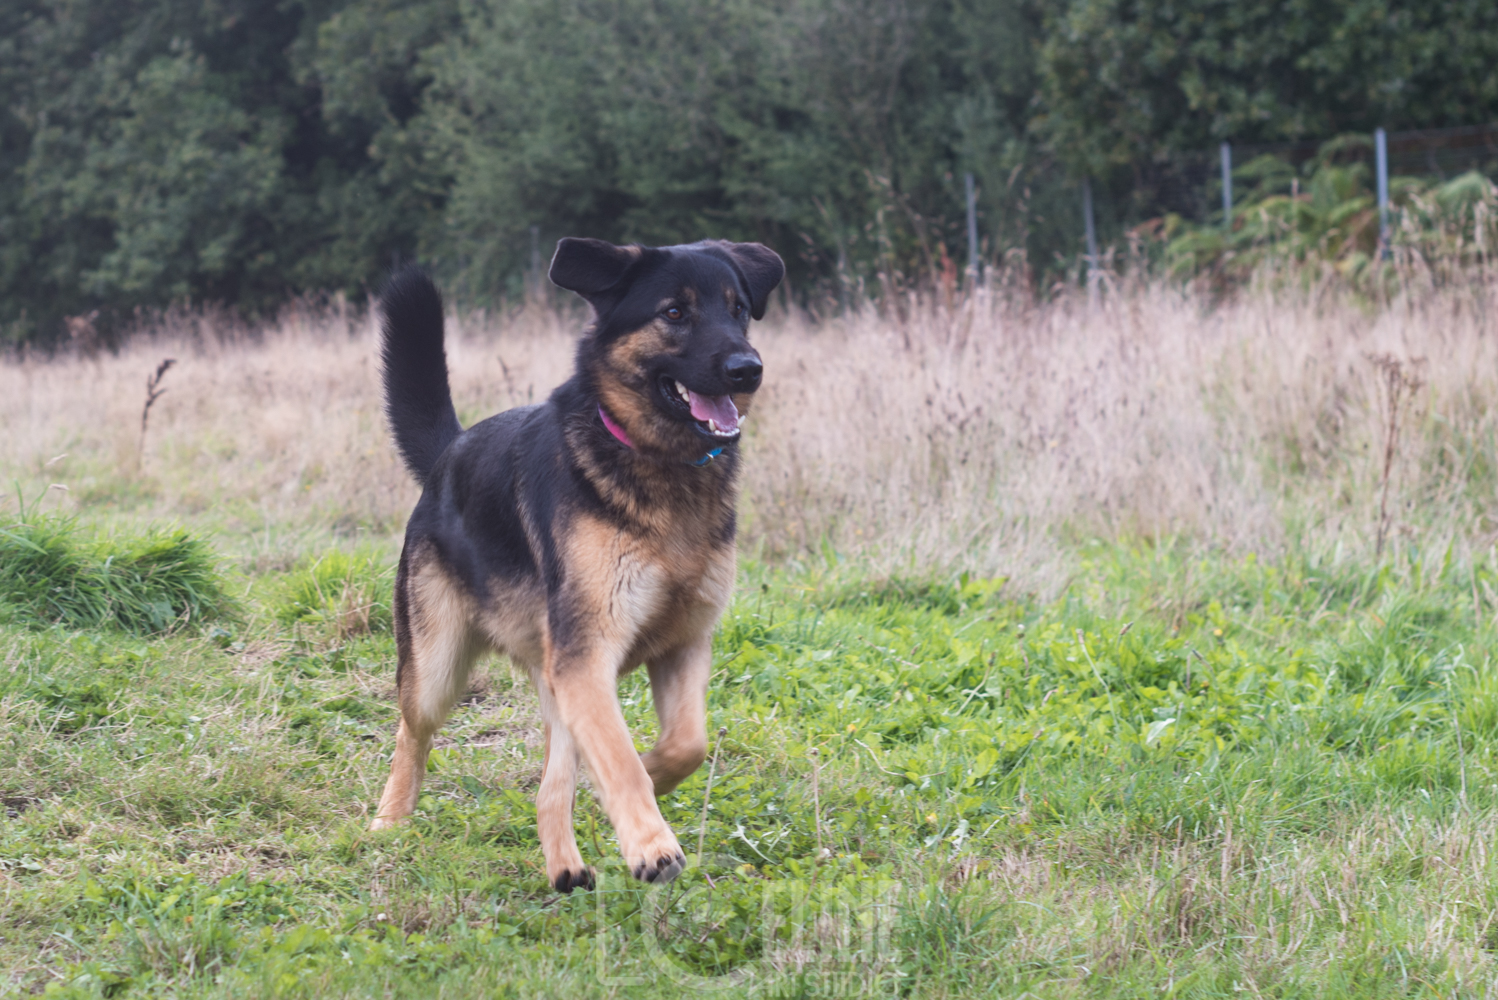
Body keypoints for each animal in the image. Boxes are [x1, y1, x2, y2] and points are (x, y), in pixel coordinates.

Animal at [370, 237, 784, 892]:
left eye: (738, 309)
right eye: (674, 313)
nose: (749, 369)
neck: (655, 461)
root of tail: (448, 453)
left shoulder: (680, 645)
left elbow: (685, 743)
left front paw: (646, 785)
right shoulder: (589, 656)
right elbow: (619, 759)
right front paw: (651, 844)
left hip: (555, 678)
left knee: (549, 784)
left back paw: (564, 864)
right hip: (438, 668)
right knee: (411, 733)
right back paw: (391, 819)